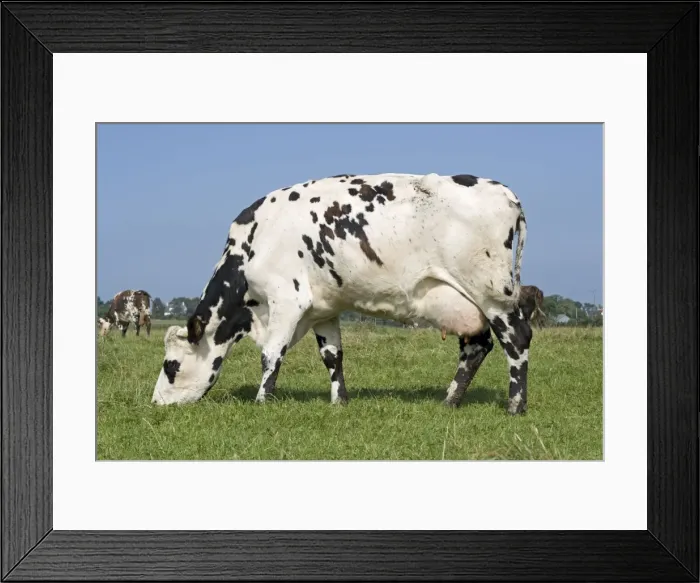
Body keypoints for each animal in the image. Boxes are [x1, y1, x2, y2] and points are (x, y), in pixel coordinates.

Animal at [151, 172, 532, 415]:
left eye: (171, 365)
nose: (155, 403)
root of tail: (503, 191)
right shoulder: (323, 308)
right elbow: (332, 357)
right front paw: (339, 402)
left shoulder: (287, 299)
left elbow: (271, 355)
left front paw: (262, 402)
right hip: (466, 302)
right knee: (476, 346)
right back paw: (449, 402)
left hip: (492, 293)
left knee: (517, 338)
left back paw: (515, 406)